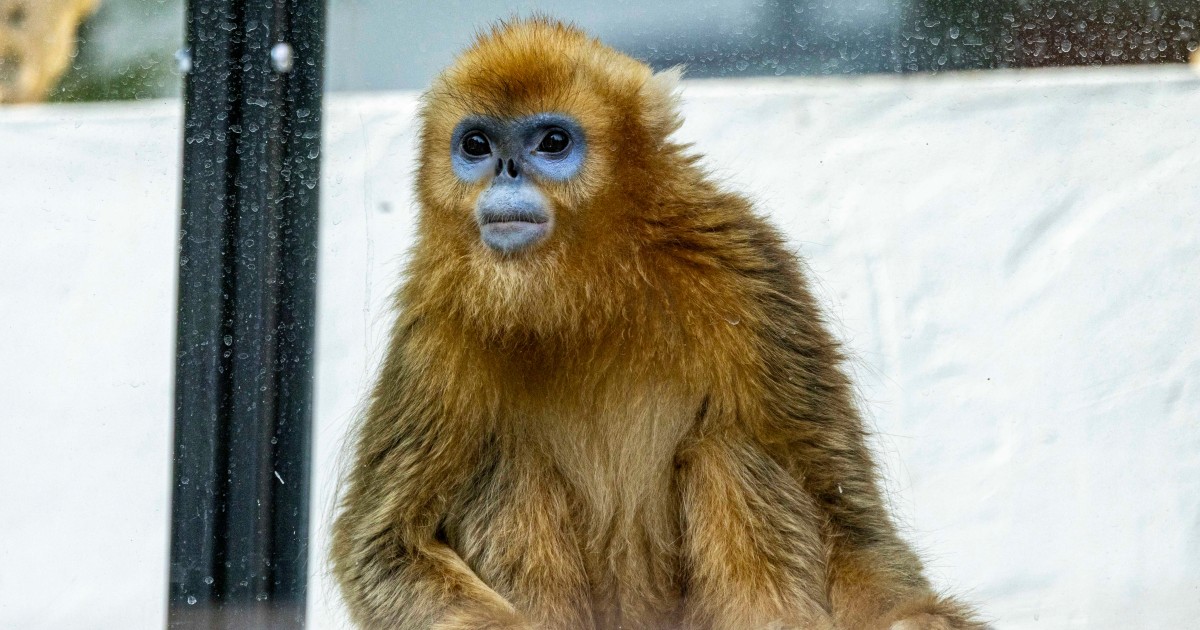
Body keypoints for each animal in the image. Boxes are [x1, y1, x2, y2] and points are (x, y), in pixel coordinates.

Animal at [331, 17, 987, 630]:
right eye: (475, 144)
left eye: (551, 141)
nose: (506, 170)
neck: (587, 290)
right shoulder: (435, 322)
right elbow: (382, 545)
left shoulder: (741, 262)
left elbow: (847, 515)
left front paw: (911, 614)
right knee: (511, 467)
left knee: (727, 448)